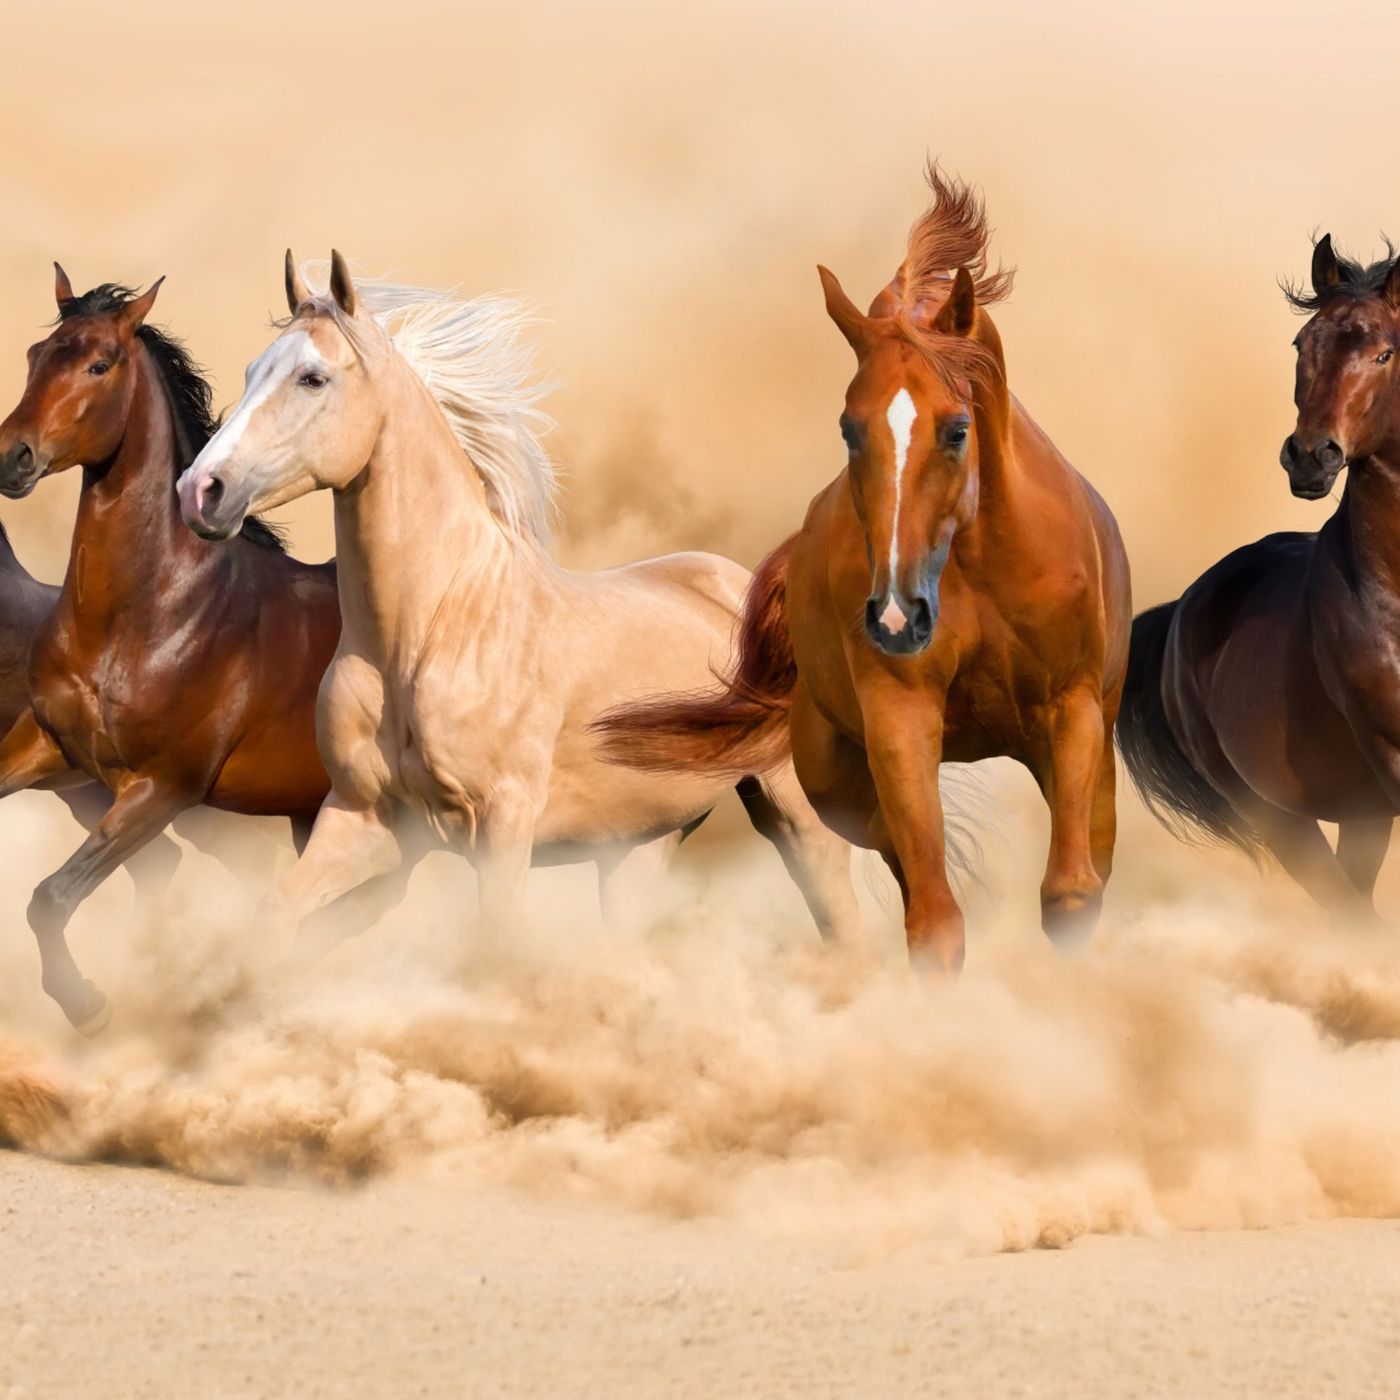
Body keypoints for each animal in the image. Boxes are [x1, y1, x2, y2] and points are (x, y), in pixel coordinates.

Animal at [0, 267, 343, 1034]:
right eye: (36, 355)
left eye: (99, 364)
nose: (12, 458)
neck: (149, 615)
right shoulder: (50, 746)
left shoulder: (160, 789)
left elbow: (51, 897)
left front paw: (88, 1005)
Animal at [175, 252, 866, 954]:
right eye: (252, 371)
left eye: (312, 378)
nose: (200, 491)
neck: (427, 635)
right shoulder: (363, 820)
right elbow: (274, 915)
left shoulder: (502, 824)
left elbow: (495, 943)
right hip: (638, 847)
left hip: (793, 811)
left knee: (842, 918)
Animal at [594, 165, 1132, 971]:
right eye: (850, 428)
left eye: (957, 429)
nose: (897, 616)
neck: (981, 566)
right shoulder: (900, 717)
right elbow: (934, 918)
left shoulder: (1069, 714)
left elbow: (1071, 892)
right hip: (833, 778)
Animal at [1116, 234, 1400, 917]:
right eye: (1302, 343)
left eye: (1386, 352)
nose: (1310, 456)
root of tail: (1182, 610)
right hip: (1280, 816)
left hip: (1362, 814)